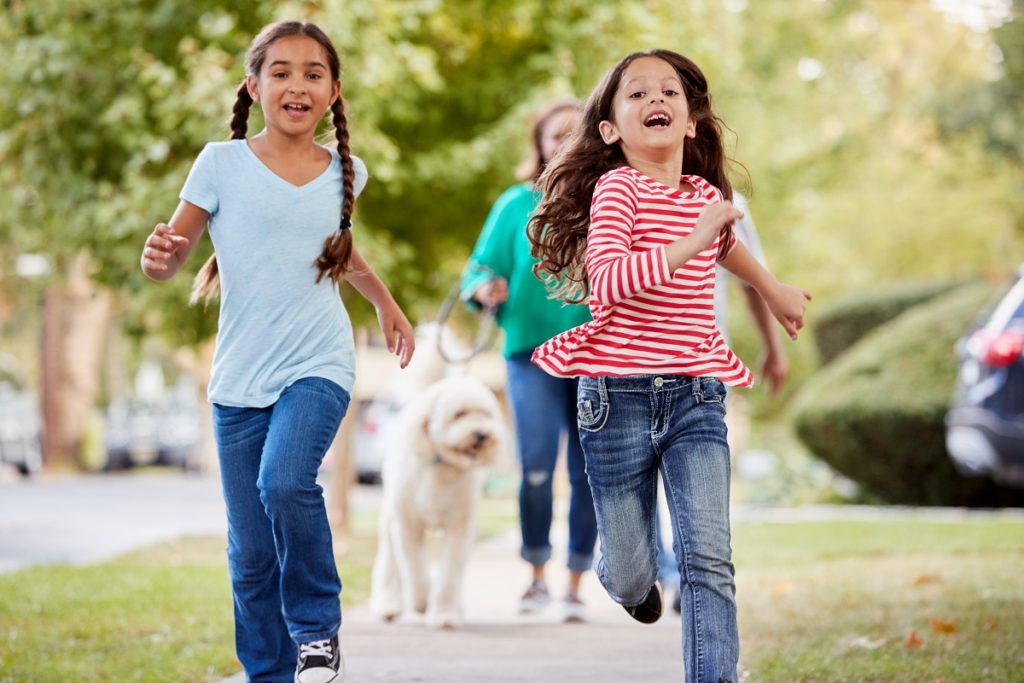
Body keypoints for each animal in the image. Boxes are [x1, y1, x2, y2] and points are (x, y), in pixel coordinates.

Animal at [372, 374, 507, 630]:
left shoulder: (459, 530)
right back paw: (388, 604)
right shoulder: (407, 526)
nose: (482, 434)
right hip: (389, 520)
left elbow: (448, 577)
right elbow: (415, 569)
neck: (442, 465)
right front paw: (421, 603)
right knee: (390, 565)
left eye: (486, 414)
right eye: (460, 414)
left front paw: (444, 614)